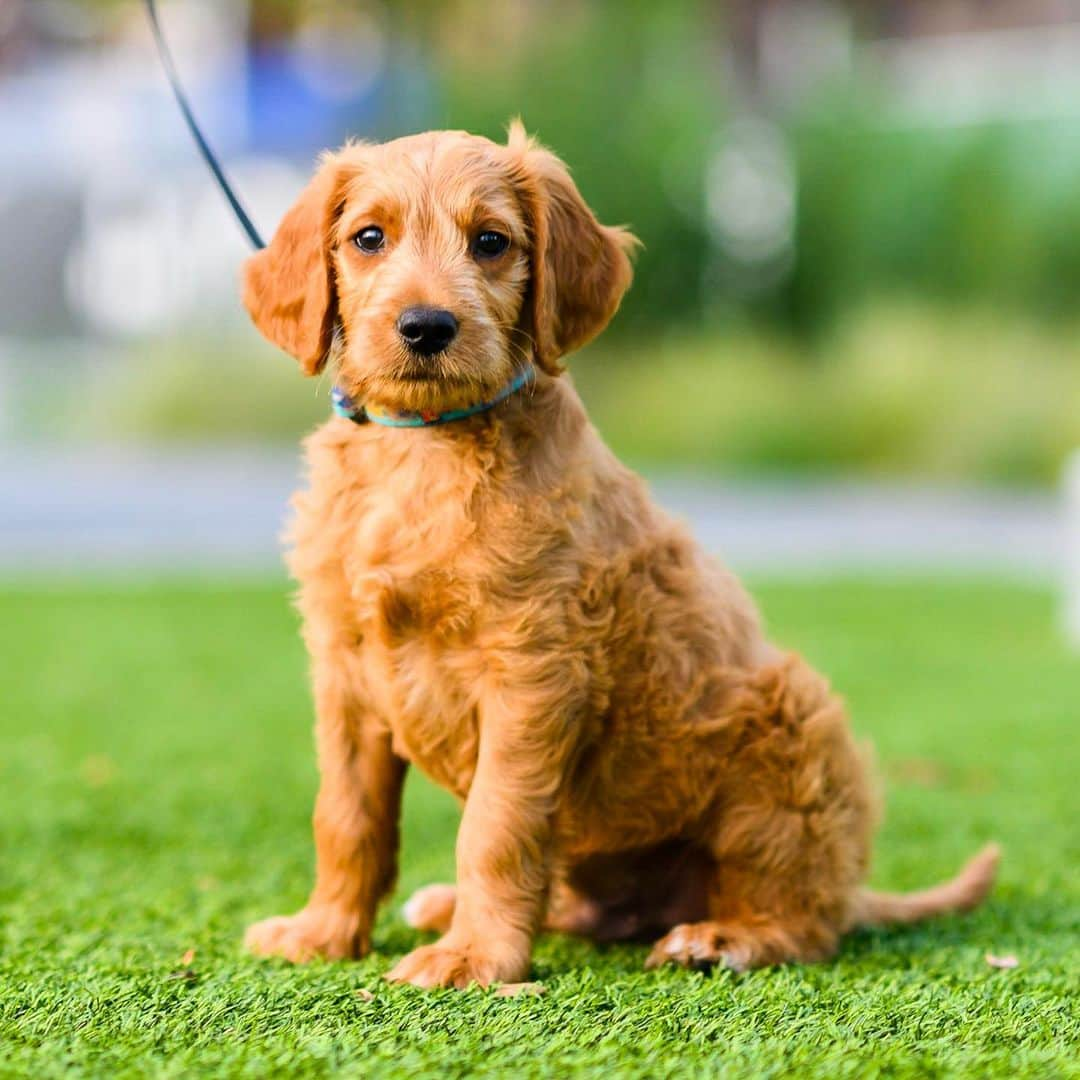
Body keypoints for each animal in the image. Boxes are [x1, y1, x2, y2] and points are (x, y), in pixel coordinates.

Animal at [240, 124, 997, 989]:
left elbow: (495, 827)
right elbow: (346, 816)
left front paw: (476, 957)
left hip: (789, 731)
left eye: (491, 242)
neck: (423, 449)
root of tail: (848, 884)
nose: (426, 327)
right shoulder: (346, 672)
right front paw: (324, 930)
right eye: (369, 238)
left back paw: (724, 937)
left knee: (806, 922)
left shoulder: (533, 672)